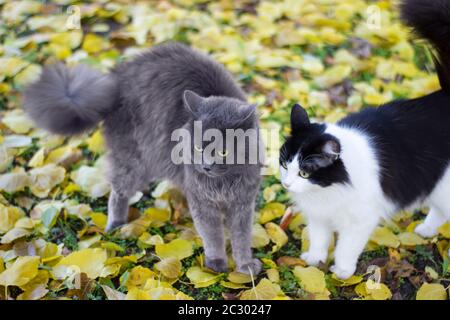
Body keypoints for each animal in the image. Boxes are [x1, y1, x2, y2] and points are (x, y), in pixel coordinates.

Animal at [23, 41, 264, 274]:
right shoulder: (202, 202)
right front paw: (216, 264)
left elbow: (242, 238)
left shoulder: (243, 203)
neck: (224, 183)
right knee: (118, 192)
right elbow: (212, 235)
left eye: (223, 151)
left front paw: (244, 267)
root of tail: (115, 82)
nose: (205, 166)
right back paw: (116, 225)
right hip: (132, 161)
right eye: (197, 147)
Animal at [280, 0, 448, 280]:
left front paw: (342, 272)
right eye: (284, 165)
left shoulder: (360, 220)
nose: (286, 184)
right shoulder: (319, 216)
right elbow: (319, 239)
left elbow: (346, 247)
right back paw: (425, 231)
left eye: (304, 173)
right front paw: (315, 262)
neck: (327, 189)